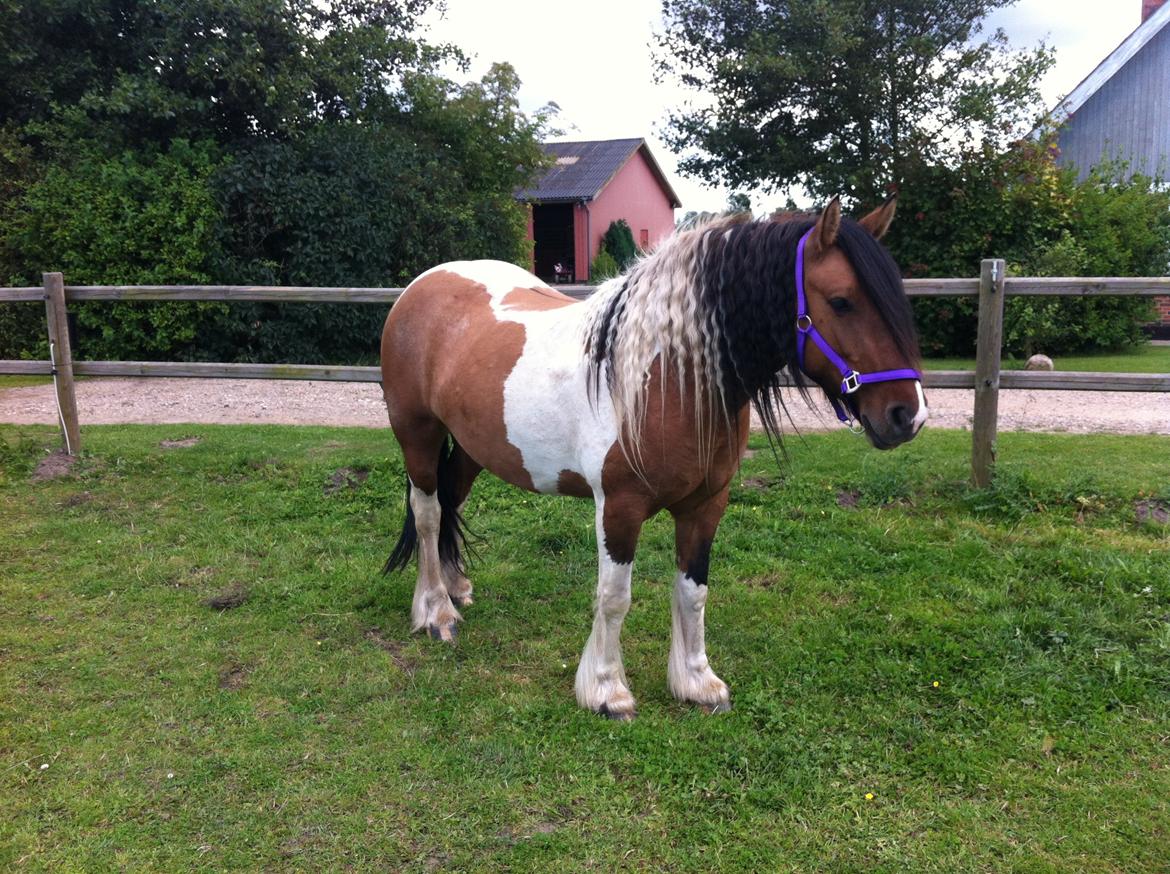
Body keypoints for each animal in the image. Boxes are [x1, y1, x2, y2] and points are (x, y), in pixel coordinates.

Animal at [379, 196, 926, 716]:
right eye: (841, 301)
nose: (908, 415)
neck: (667, 378)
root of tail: (421, 287)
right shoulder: (618, 507)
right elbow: (614, 597)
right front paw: (606, 691)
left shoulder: (706, 505)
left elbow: (693, 591)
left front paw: (697, 682)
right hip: (418, 436)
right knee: (428, 513)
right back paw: (436, 612)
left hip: (472, 446)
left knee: (451, 501)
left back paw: (456, 588)